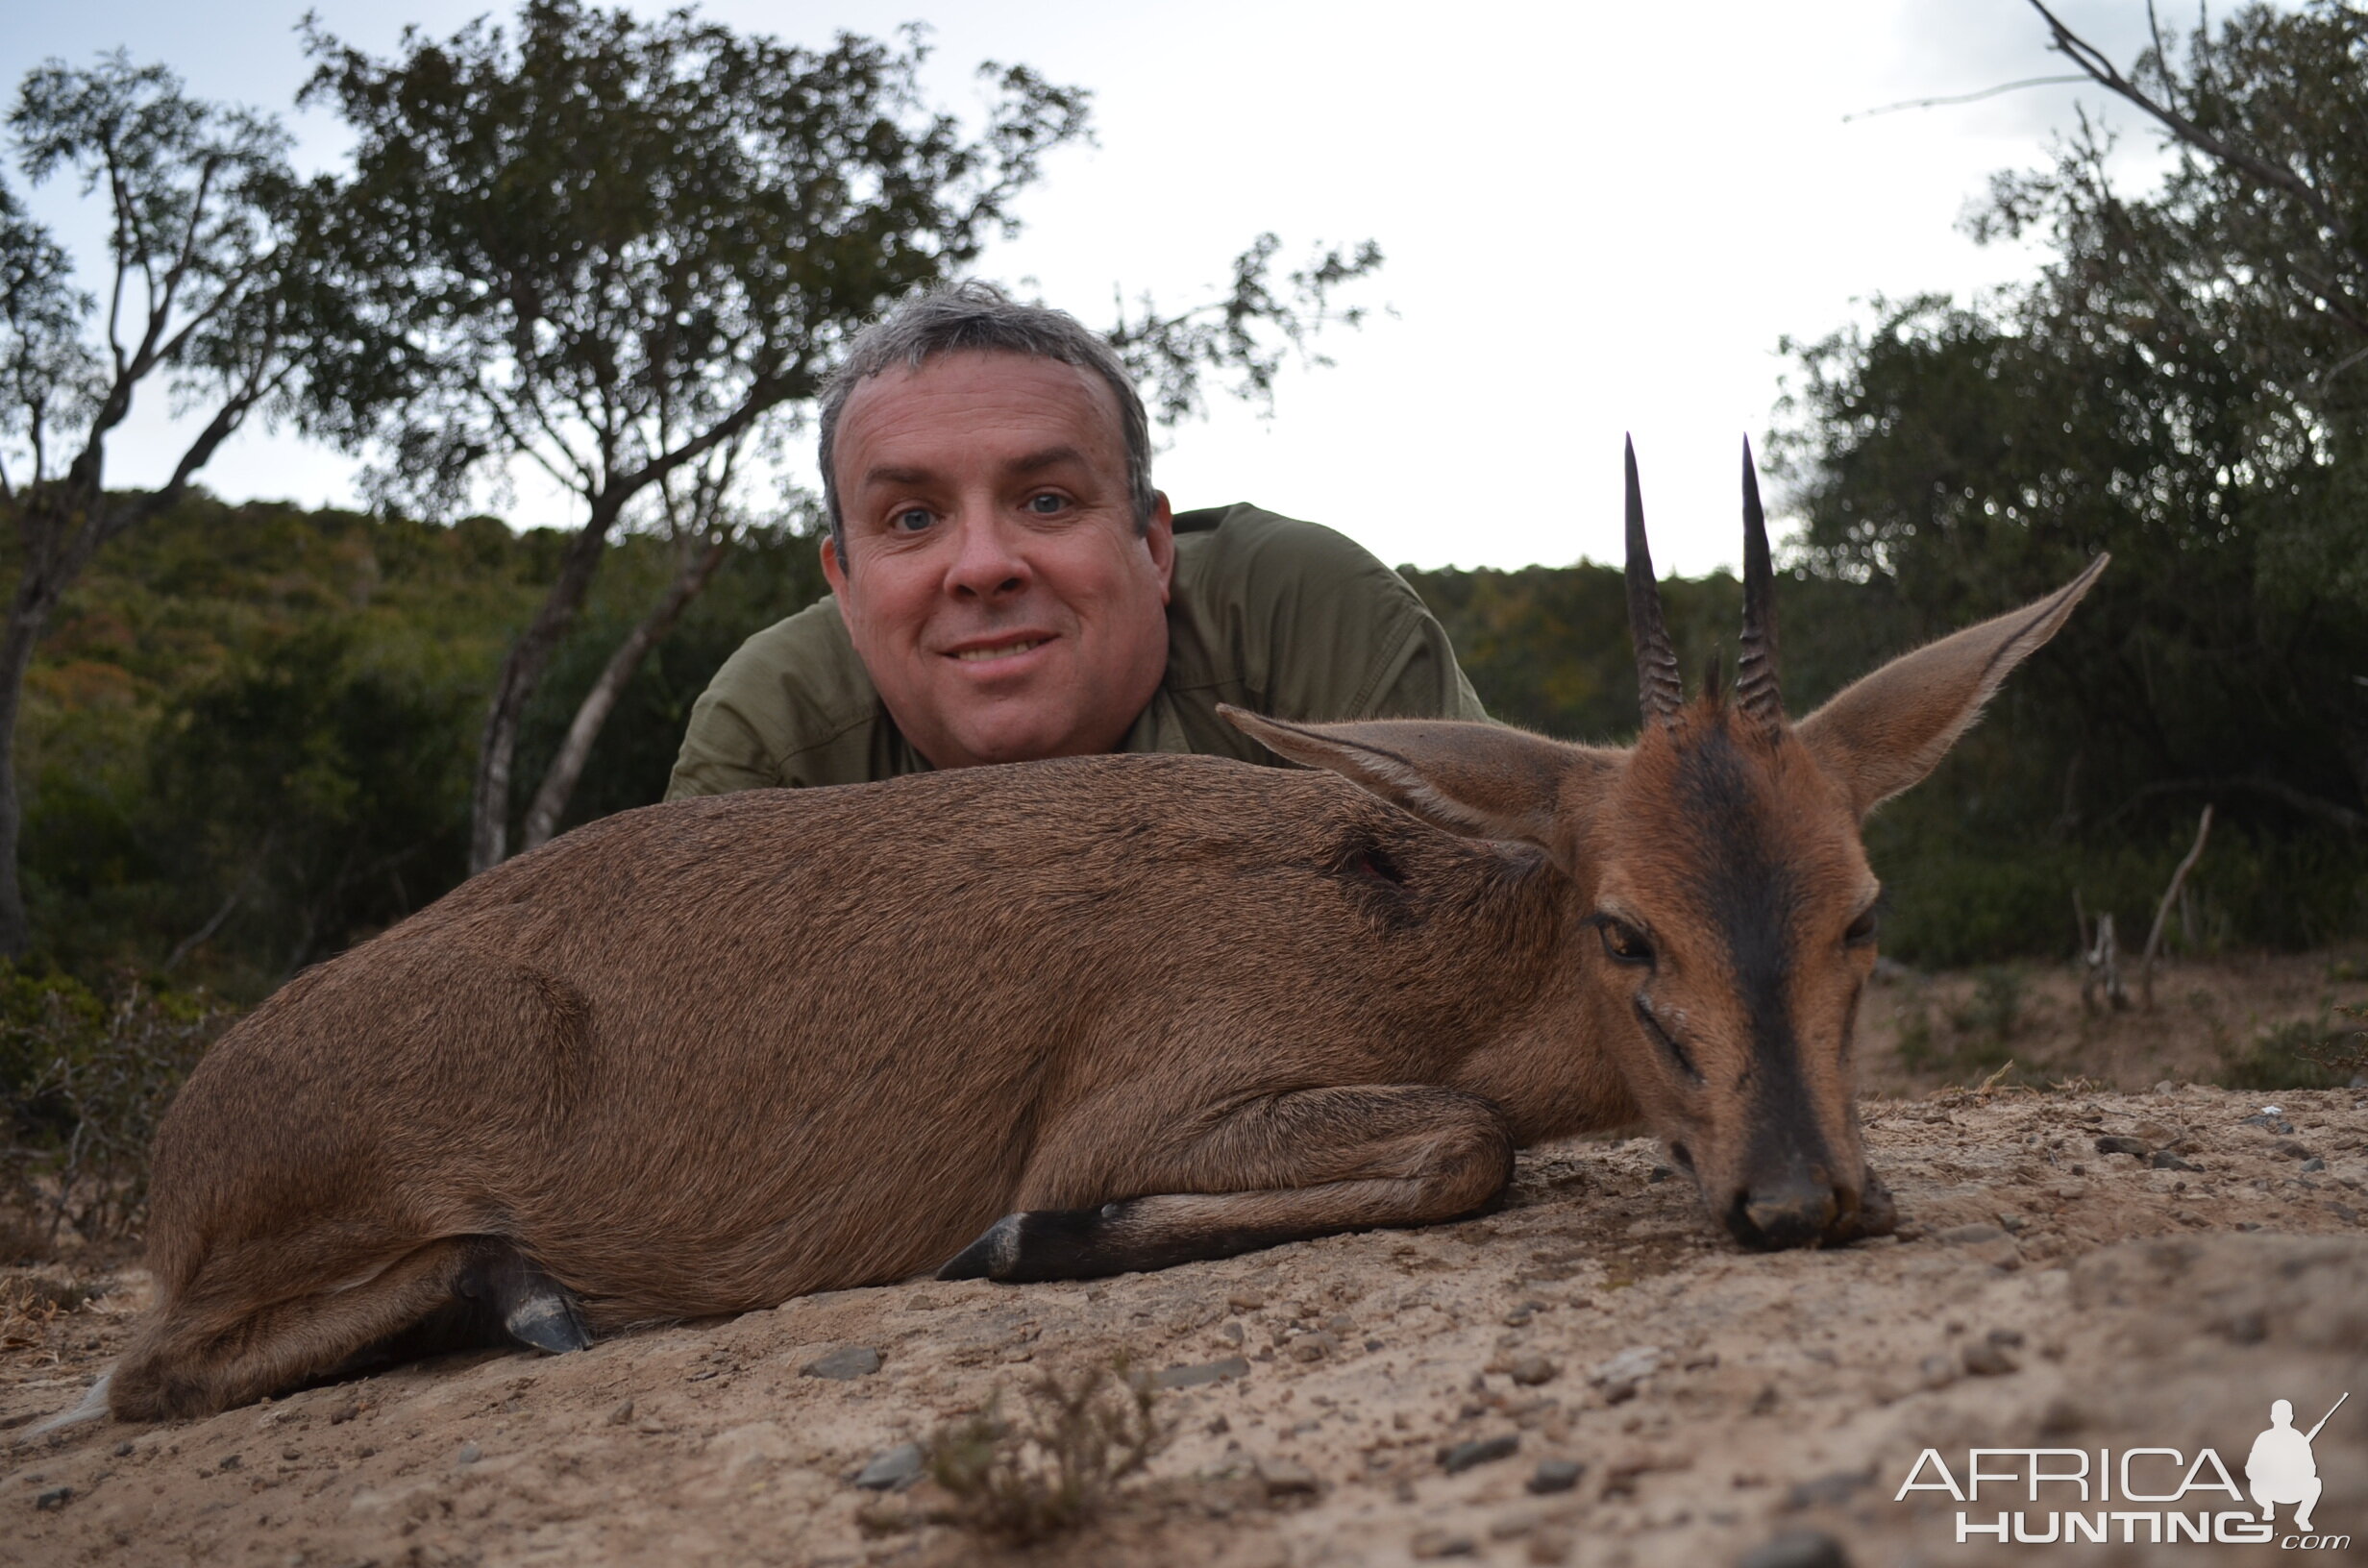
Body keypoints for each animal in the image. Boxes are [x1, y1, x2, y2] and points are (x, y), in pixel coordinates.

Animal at [83, 438, 2103, 1421]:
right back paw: (522, 1296)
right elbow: (1461, 1143)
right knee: (152, 1371)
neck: (1404, 921)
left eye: (1860, 911)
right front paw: (1016, 1240)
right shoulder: (1156, 1099)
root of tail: (188, 1133)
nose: (1796, 1195)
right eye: (1624, 933)